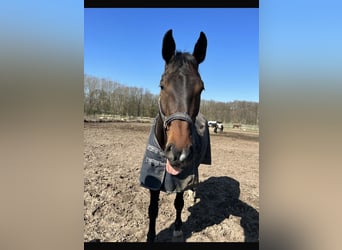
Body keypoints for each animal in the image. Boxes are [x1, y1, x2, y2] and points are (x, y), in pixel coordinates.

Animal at [139, 29, 211, 242]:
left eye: (201, 88)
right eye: (162, 85)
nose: (178, 152)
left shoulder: (182, 178)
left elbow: (178, 202)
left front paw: (178, 228)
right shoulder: (152, 177)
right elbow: (152, 209)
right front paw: (151, 237)